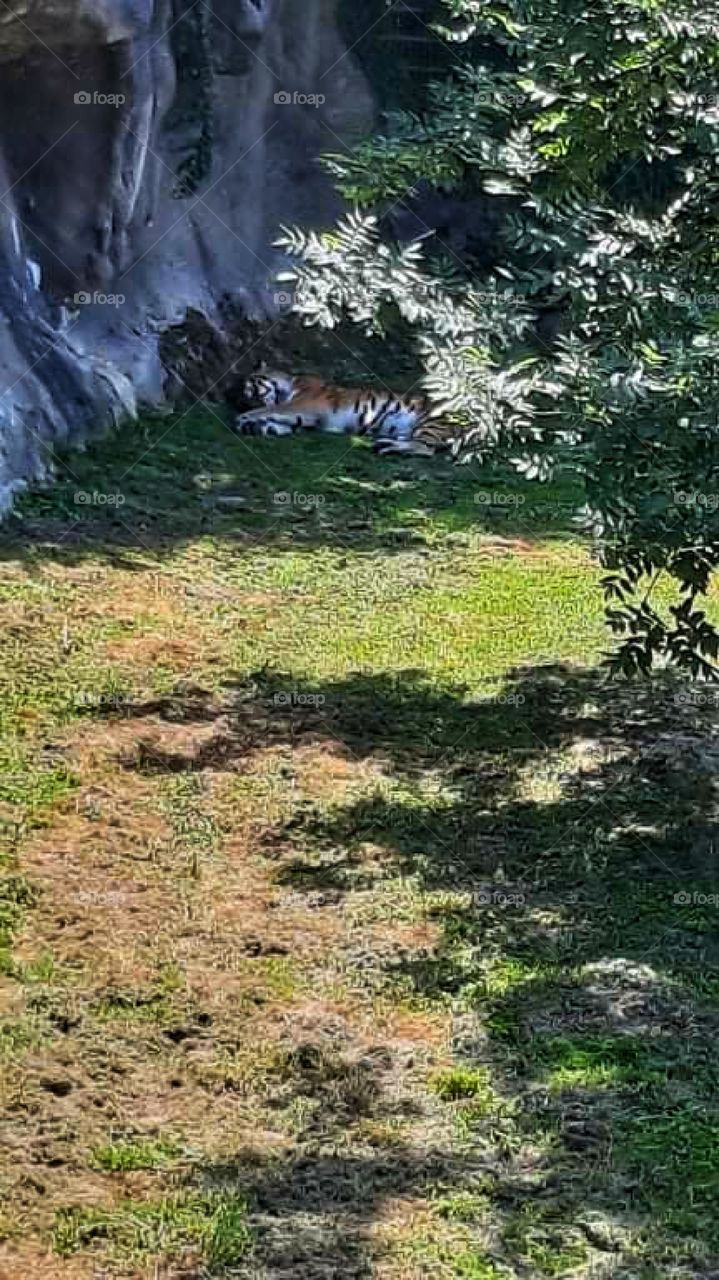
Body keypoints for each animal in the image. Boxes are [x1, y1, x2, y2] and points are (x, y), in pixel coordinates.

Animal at [233, 369, 456, 458]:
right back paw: (385, 442)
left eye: (250, 387)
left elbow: (269, 409)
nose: (245, 401)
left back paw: (387, 446)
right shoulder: (305, 418)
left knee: (426, 448)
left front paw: (243, 419)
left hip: (432, 422)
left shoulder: (302, 405)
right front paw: (255, 426)